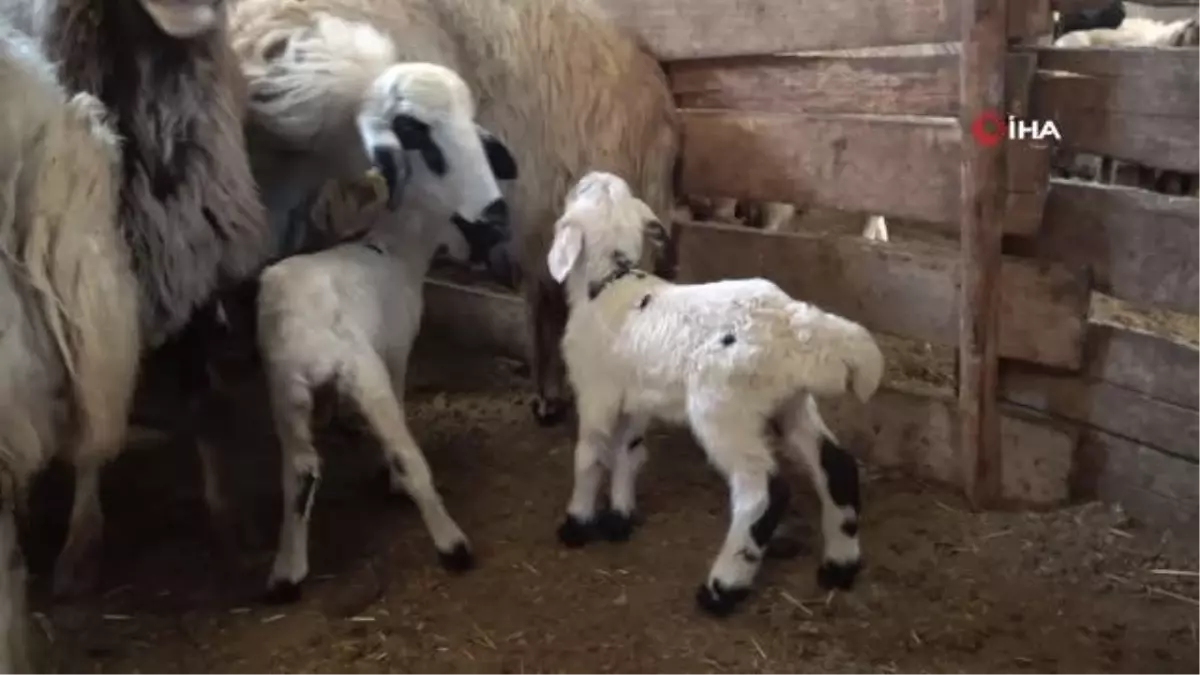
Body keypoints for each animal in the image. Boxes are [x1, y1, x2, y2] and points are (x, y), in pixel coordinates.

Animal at [253, 61, 516, 598]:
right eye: (429, 142)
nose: (493, 222)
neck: (394, 250)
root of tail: (310, 332)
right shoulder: (396, 352)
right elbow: (399, 421)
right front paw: (389, 480)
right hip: (362, 371)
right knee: (408, 457)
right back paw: (451, 543)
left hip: (283, 387)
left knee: (300, 471)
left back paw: (287, 570)